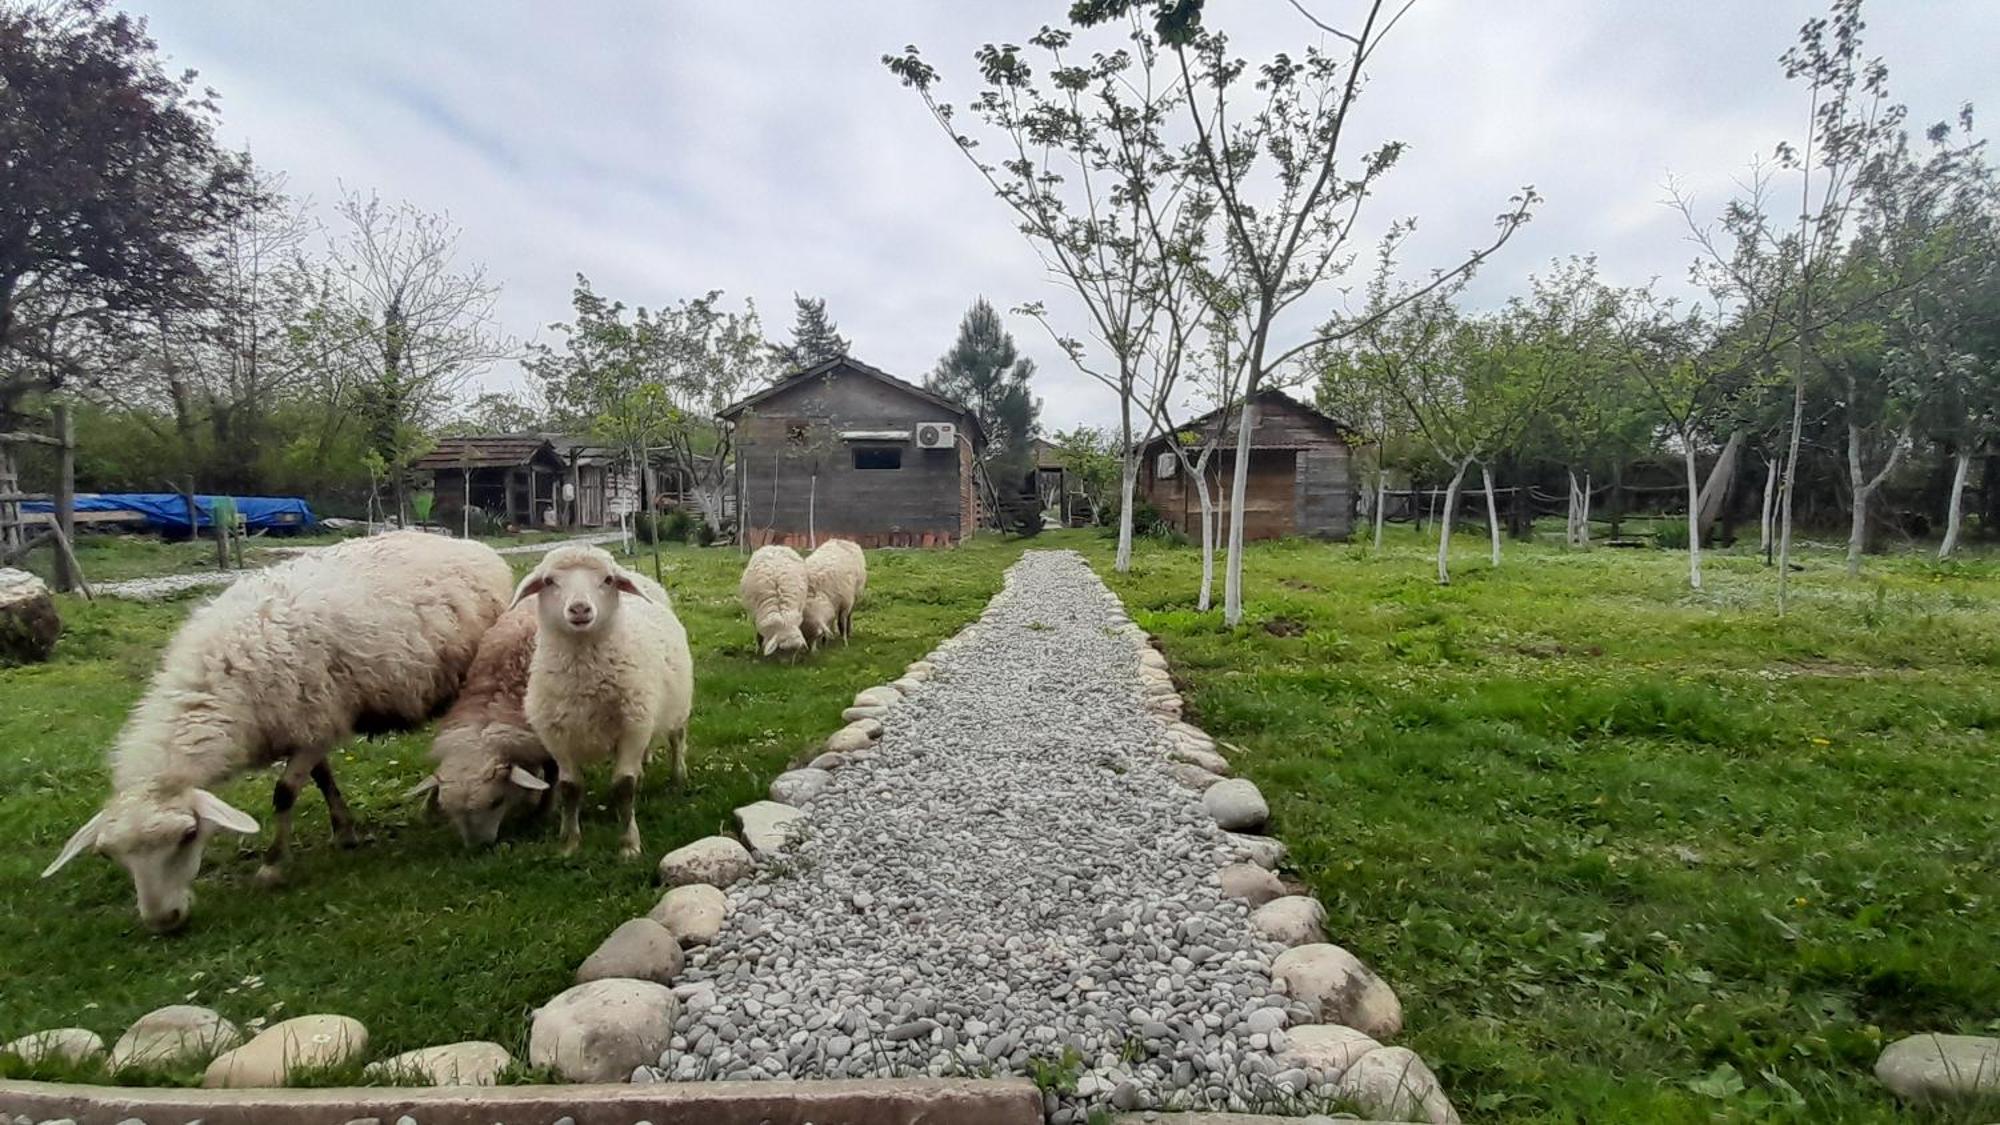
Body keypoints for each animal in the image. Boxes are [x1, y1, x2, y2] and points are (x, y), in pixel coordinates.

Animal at [42, 528, 512, 924]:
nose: (162, 921)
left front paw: (271, 866)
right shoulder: (307, 725)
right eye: (108, 856)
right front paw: (344, 832)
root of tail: (464, 542)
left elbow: (284, 793)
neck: (219, 686)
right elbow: (323, 779)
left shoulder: (316, 721)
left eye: (189, 835)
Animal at [516, 544, 696, 848]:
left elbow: (623, 786)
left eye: (608, 580)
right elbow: (569, 788)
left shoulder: (632, 728)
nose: (579, 608)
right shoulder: (557, 736)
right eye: (549, 581)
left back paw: (678, 775)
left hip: (676, 704)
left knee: (677, 738)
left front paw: (629, 844)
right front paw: (570, 842)